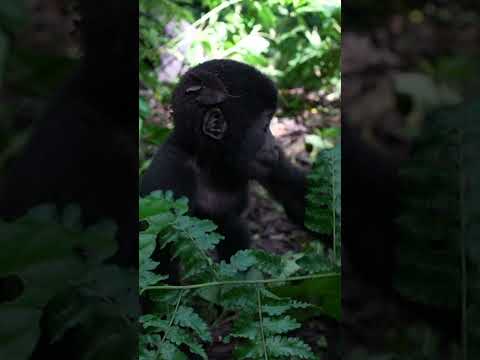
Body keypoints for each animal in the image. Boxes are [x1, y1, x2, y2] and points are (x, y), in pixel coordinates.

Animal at [141, 59, 310, 278]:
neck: (208, 158)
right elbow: (160, 263)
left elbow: (295, 197)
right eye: (265, 126)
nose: (274, 145)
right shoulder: (168, 175)